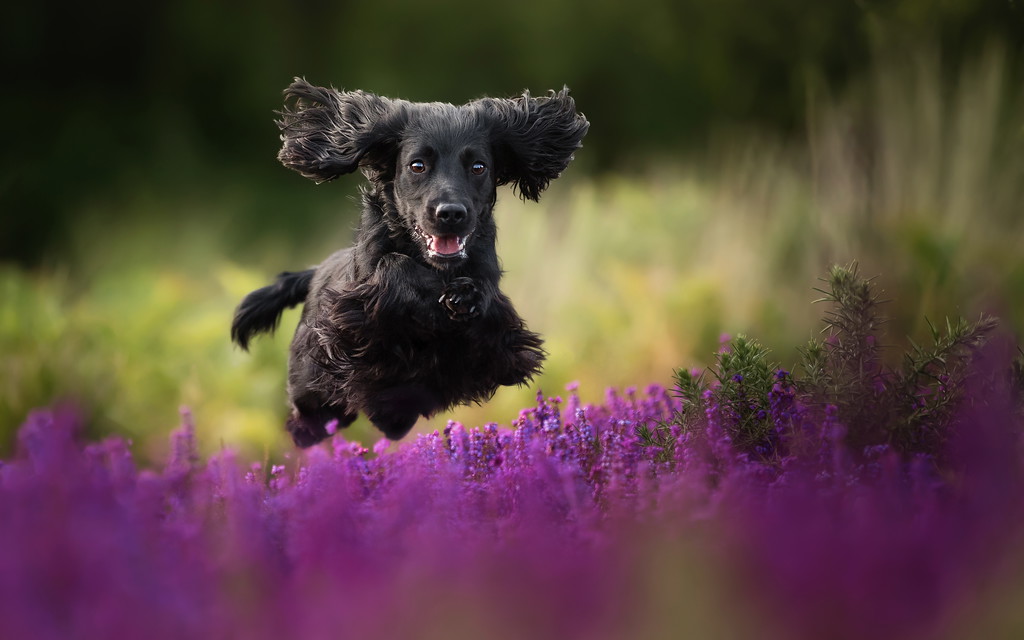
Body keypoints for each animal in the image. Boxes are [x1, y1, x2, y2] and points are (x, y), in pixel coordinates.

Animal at [230, 78, 585, 444]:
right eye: (417, 165)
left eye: (478, 167)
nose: (451, 213)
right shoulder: (355, 315)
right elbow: (394, 265)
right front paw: (441, 294)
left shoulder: (498, 338)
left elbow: (487, 295)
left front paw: (466, 295)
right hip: (314, 390)